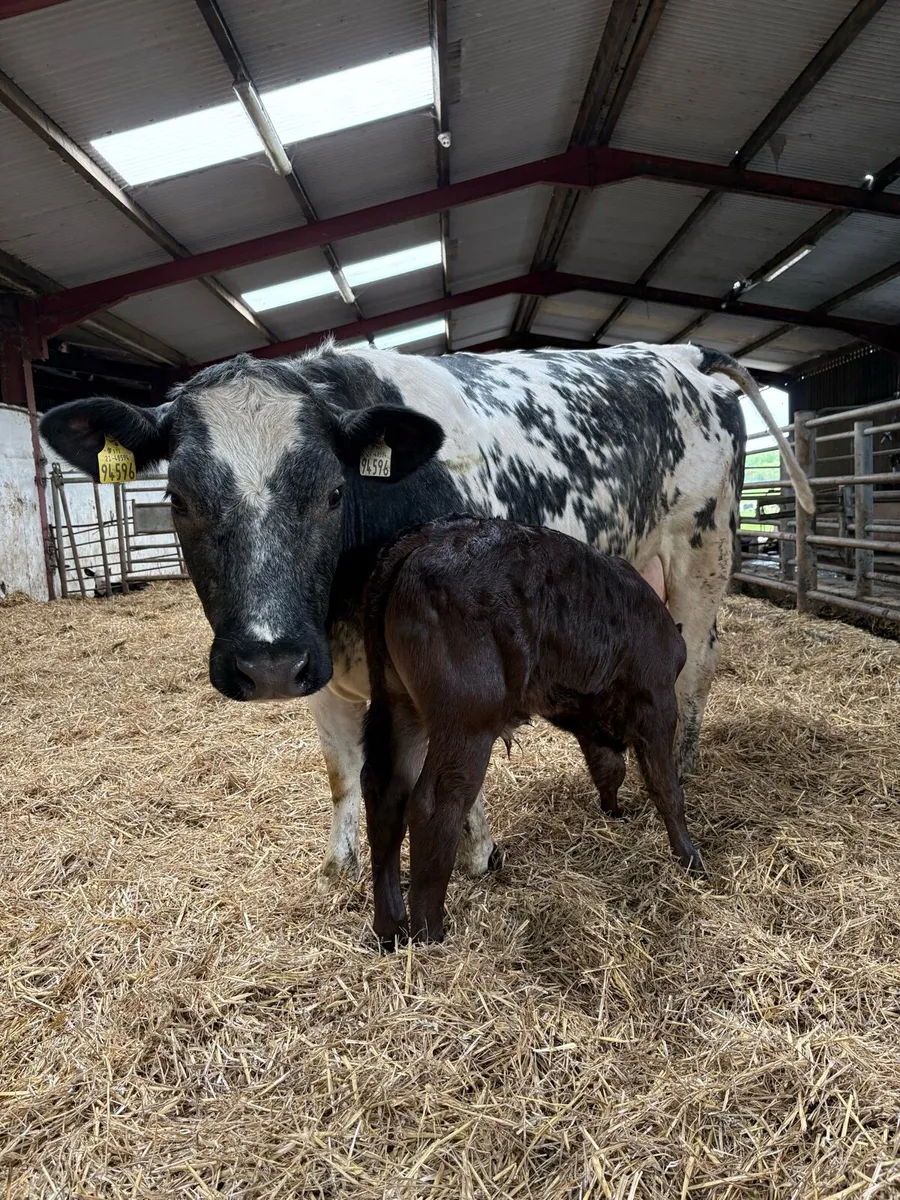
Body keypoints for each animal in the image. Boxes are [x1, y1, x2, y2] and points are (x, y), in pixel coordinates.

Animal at [40, 341, 813, 891]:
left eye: (332, 492)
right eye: (177, 500)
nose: (266, 659)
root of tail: (679, 352)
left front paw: (477, 855)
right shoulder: (320, 670)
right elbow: (342, 770)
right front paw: (338, 866)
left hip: (702, 552)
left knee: (697, 666)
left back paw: (678, 768)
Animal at [361, 514, 696, 945]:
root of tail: (427, 537)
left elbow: (608, 768)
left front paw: (614, 812)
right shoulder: (658, 700)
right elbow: (666, 787)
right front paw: (689, 857)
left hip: (398, 703)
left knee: (385, 795)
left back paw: (390, 928)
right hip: (466, 721)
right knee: (434, 805)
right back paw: (429, 931)